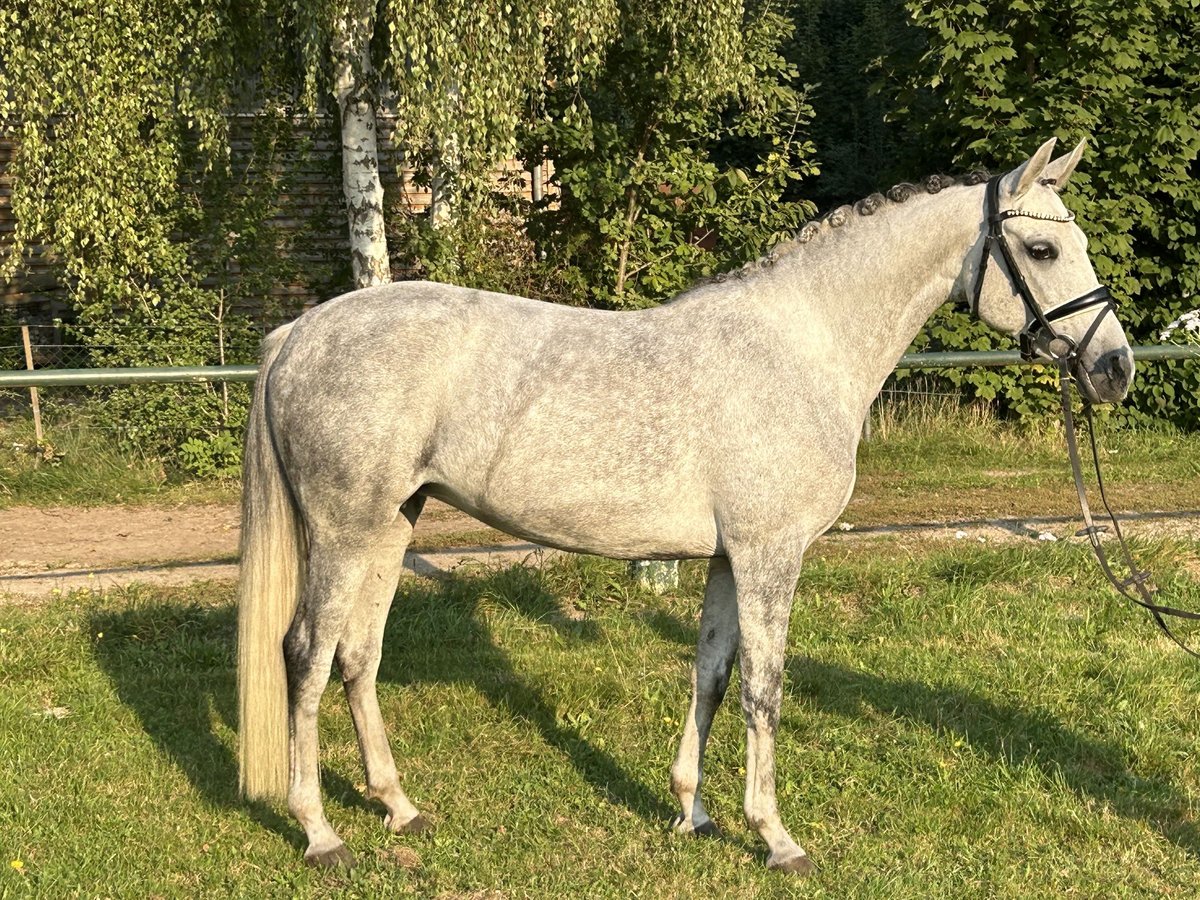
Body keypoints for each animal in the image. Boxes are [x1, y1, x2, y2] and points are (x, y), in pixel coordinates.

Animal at [236, 139, 1132, 873]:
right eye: (1043, 248)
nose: (1114, 369)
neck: (803, 346)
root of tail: (299, 333)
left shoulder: (730, 559)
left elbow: (712, 673)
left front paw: (692, 813)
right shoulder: (771, 553)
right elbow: (766, 687)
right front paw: (777, 839)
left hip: (393, 523)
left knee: (358, 656)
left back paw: (399, 808)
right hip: (344, 530)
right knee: (306, 654)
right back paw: (320, 833)